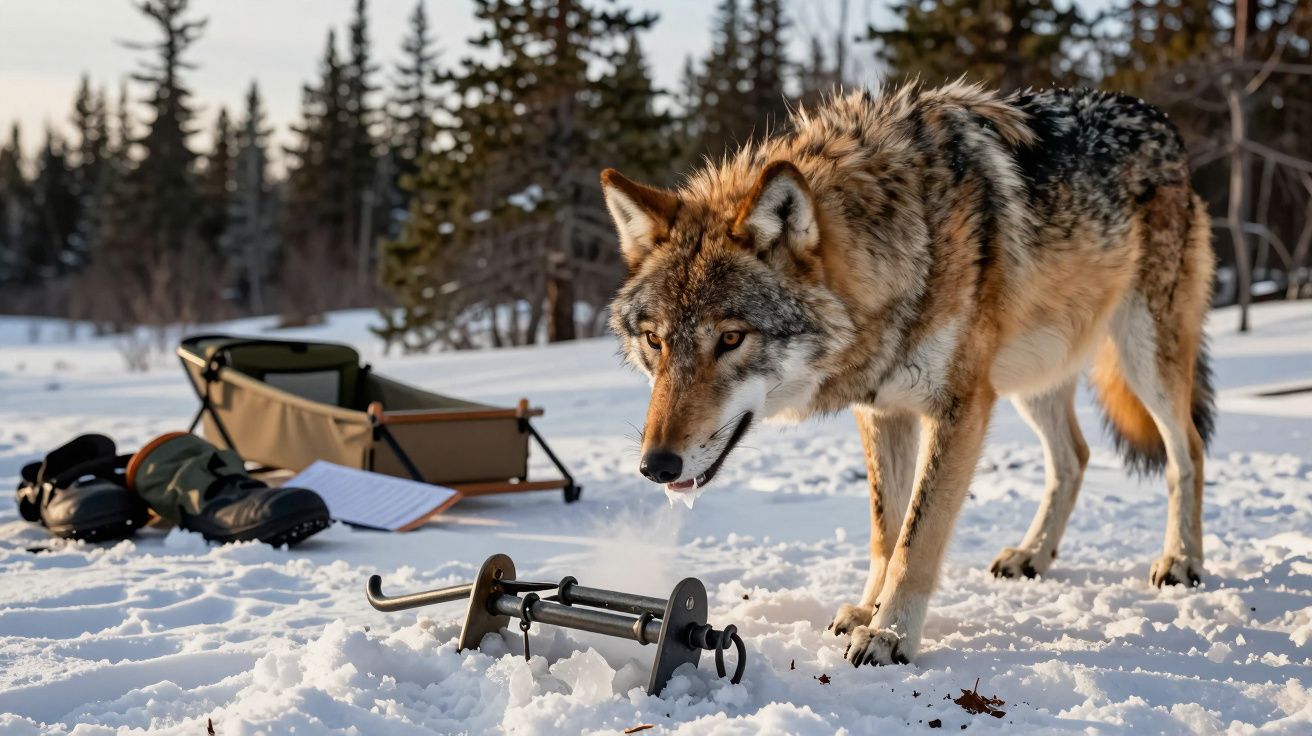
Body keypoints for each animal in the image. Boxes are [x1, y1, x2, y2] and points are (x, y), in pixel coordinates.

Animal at [601, 82, 1215, 666]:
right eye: (655, 340)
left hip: (1143, 355)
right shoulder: (884, 407)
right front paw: (866, 611)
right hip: (1032, 377)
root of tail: (1162, 122)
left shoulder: (961, 407)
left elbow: (916, 541)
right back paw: (1033, 554)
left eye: (731, 338)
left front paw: (890, 635)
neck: (907, 240)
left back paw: (1181, 560)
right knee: (1075, 456)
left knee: (1186, 449)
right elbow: (886, 531)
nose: (656, 466)